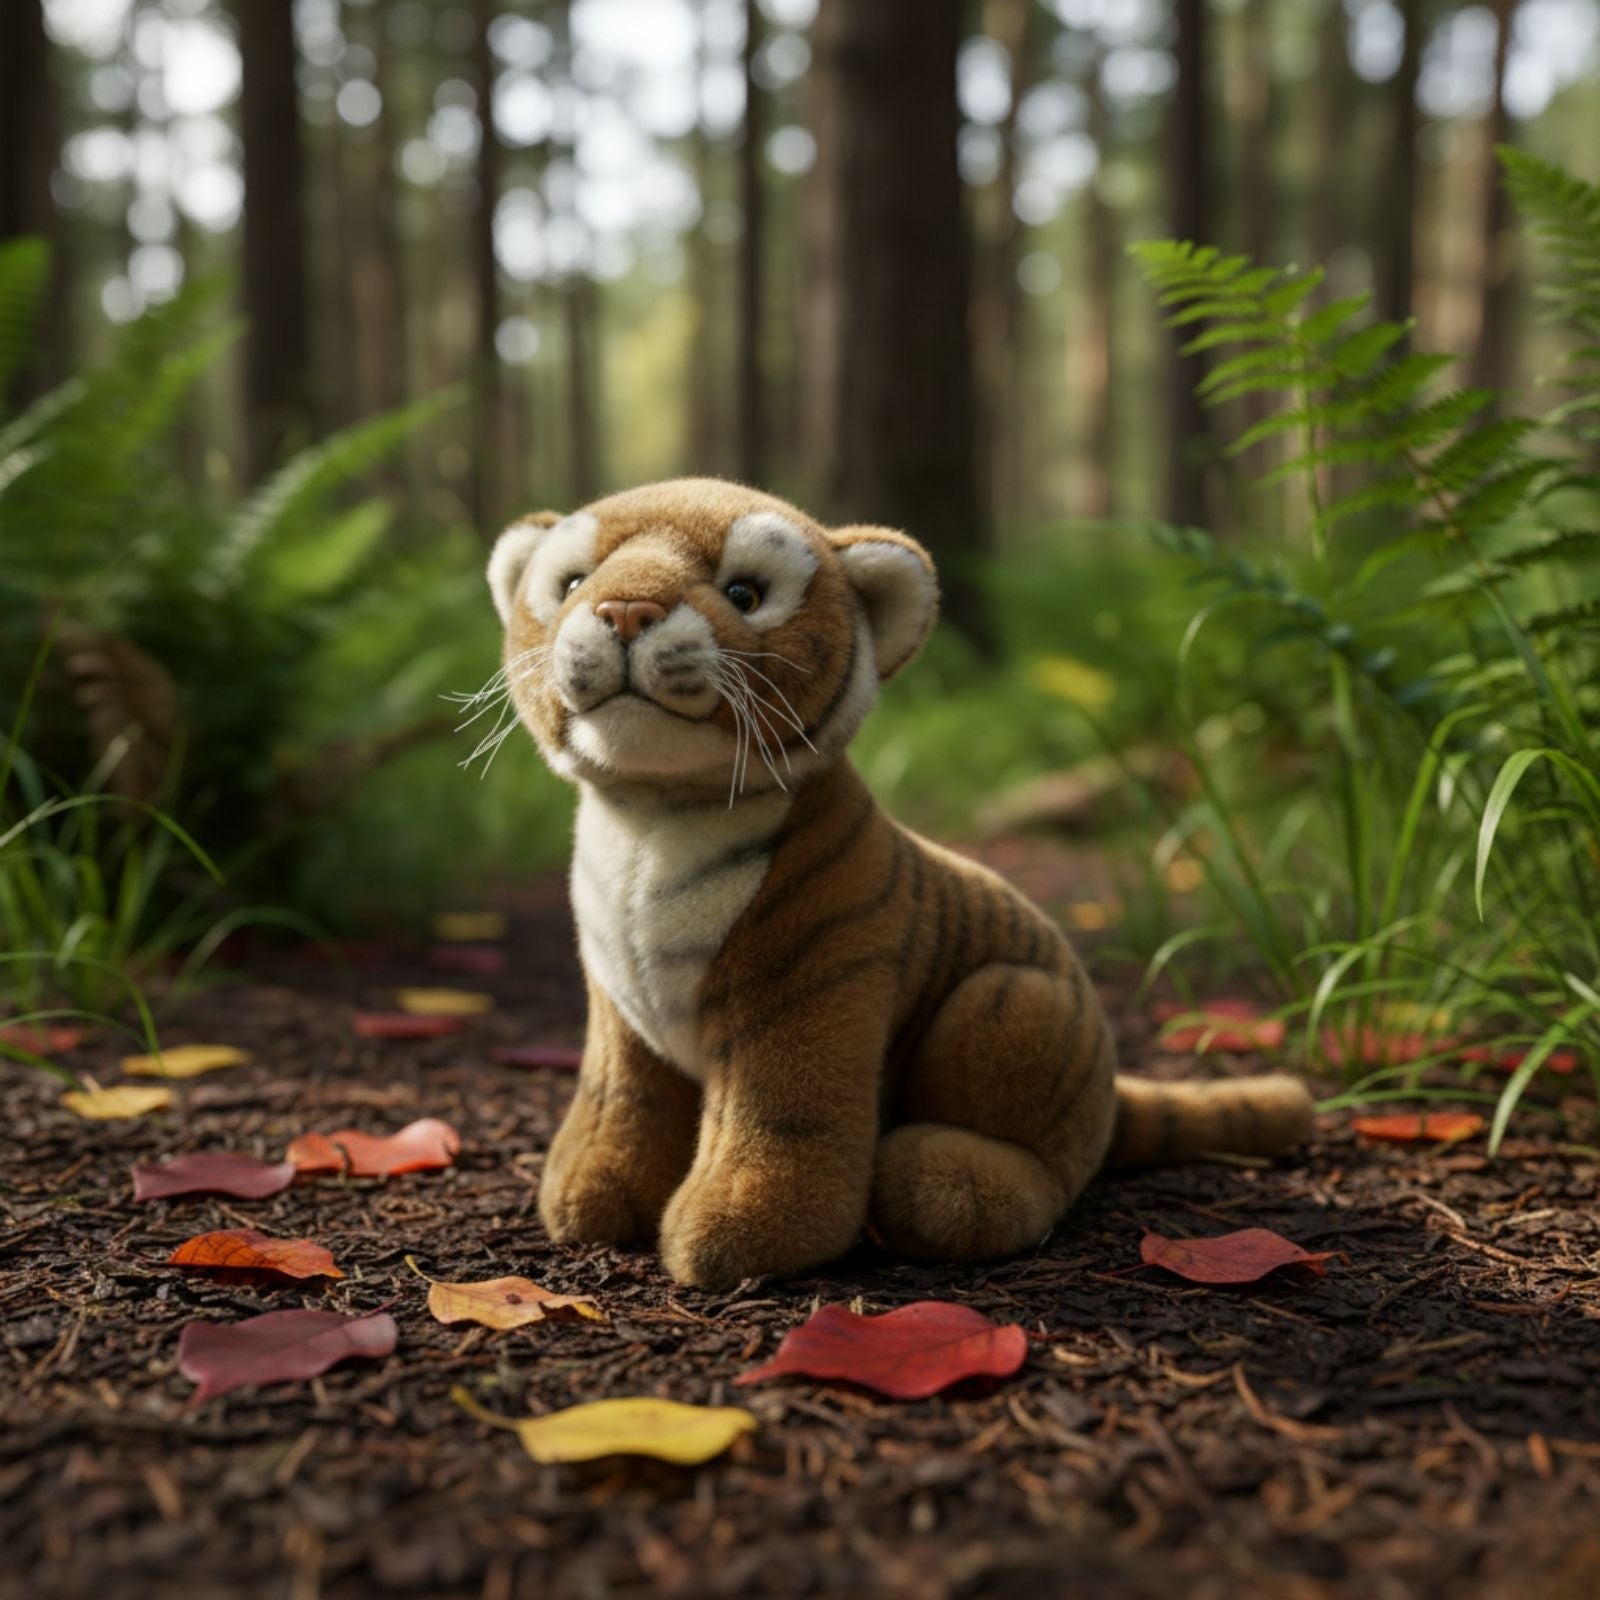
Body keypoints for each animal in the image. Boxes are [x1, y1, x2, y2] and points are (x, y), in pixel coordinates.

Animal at [484, 477, 1313, 1289]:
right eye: (574, 582)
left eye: (745, 593)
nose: (625, 608)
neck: (654, 818)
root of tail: (1109, 1084)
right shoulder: (618, 1011)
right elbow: (622, 1099)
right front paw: (589, 1194)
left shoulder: (811, 986)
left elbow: (782, 1116)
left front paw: (742, 1231)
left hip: (1014, 1003)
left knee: (1039, 1163)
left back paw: (941, 1184)